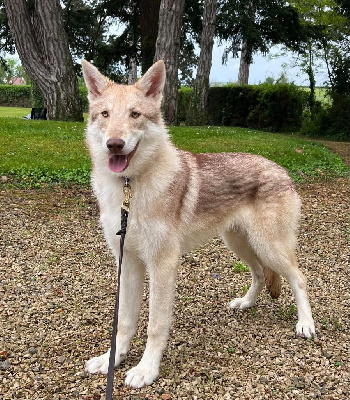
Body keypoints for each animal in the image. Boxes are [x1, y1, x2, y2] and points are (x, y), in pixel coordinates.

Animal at [81, 59, 314, 388]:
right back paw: (246, 304)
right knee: (258, 274)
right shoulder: (128, 262)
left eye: (135, 115)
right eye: (105, 114)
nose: (115, 145)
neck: (129, 186)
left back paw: (305, 323)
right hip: (240, 245)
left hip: (269, 247)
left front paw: (146, 370)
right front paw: (112, 360)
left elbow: (155, 325)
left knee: (299, 278)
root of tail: (283, 171)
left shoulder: (163, 264)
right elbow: (124, 322)